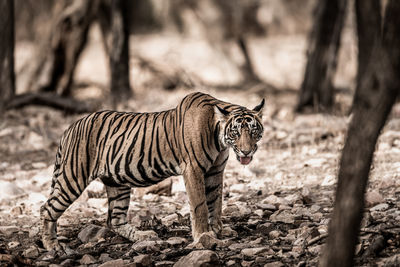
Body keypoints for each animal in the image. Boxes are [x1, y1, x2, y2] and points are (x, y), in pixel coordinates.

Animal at [40, 91, 264, 251]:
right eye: (236, 133)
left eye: (254, 131)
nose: (246, 151)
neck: (220, 140)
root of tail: (70, 128)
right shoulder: (193, 169)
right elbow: (200, 205)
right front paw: (204, 237)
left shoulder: (215, 172)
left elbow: (215, 203)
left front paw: (218, 232)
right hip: (73, 177)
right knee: (47, 209)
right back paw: (53, 247)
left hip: (116, 182)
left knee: (115, 219)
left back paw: (144, 236)